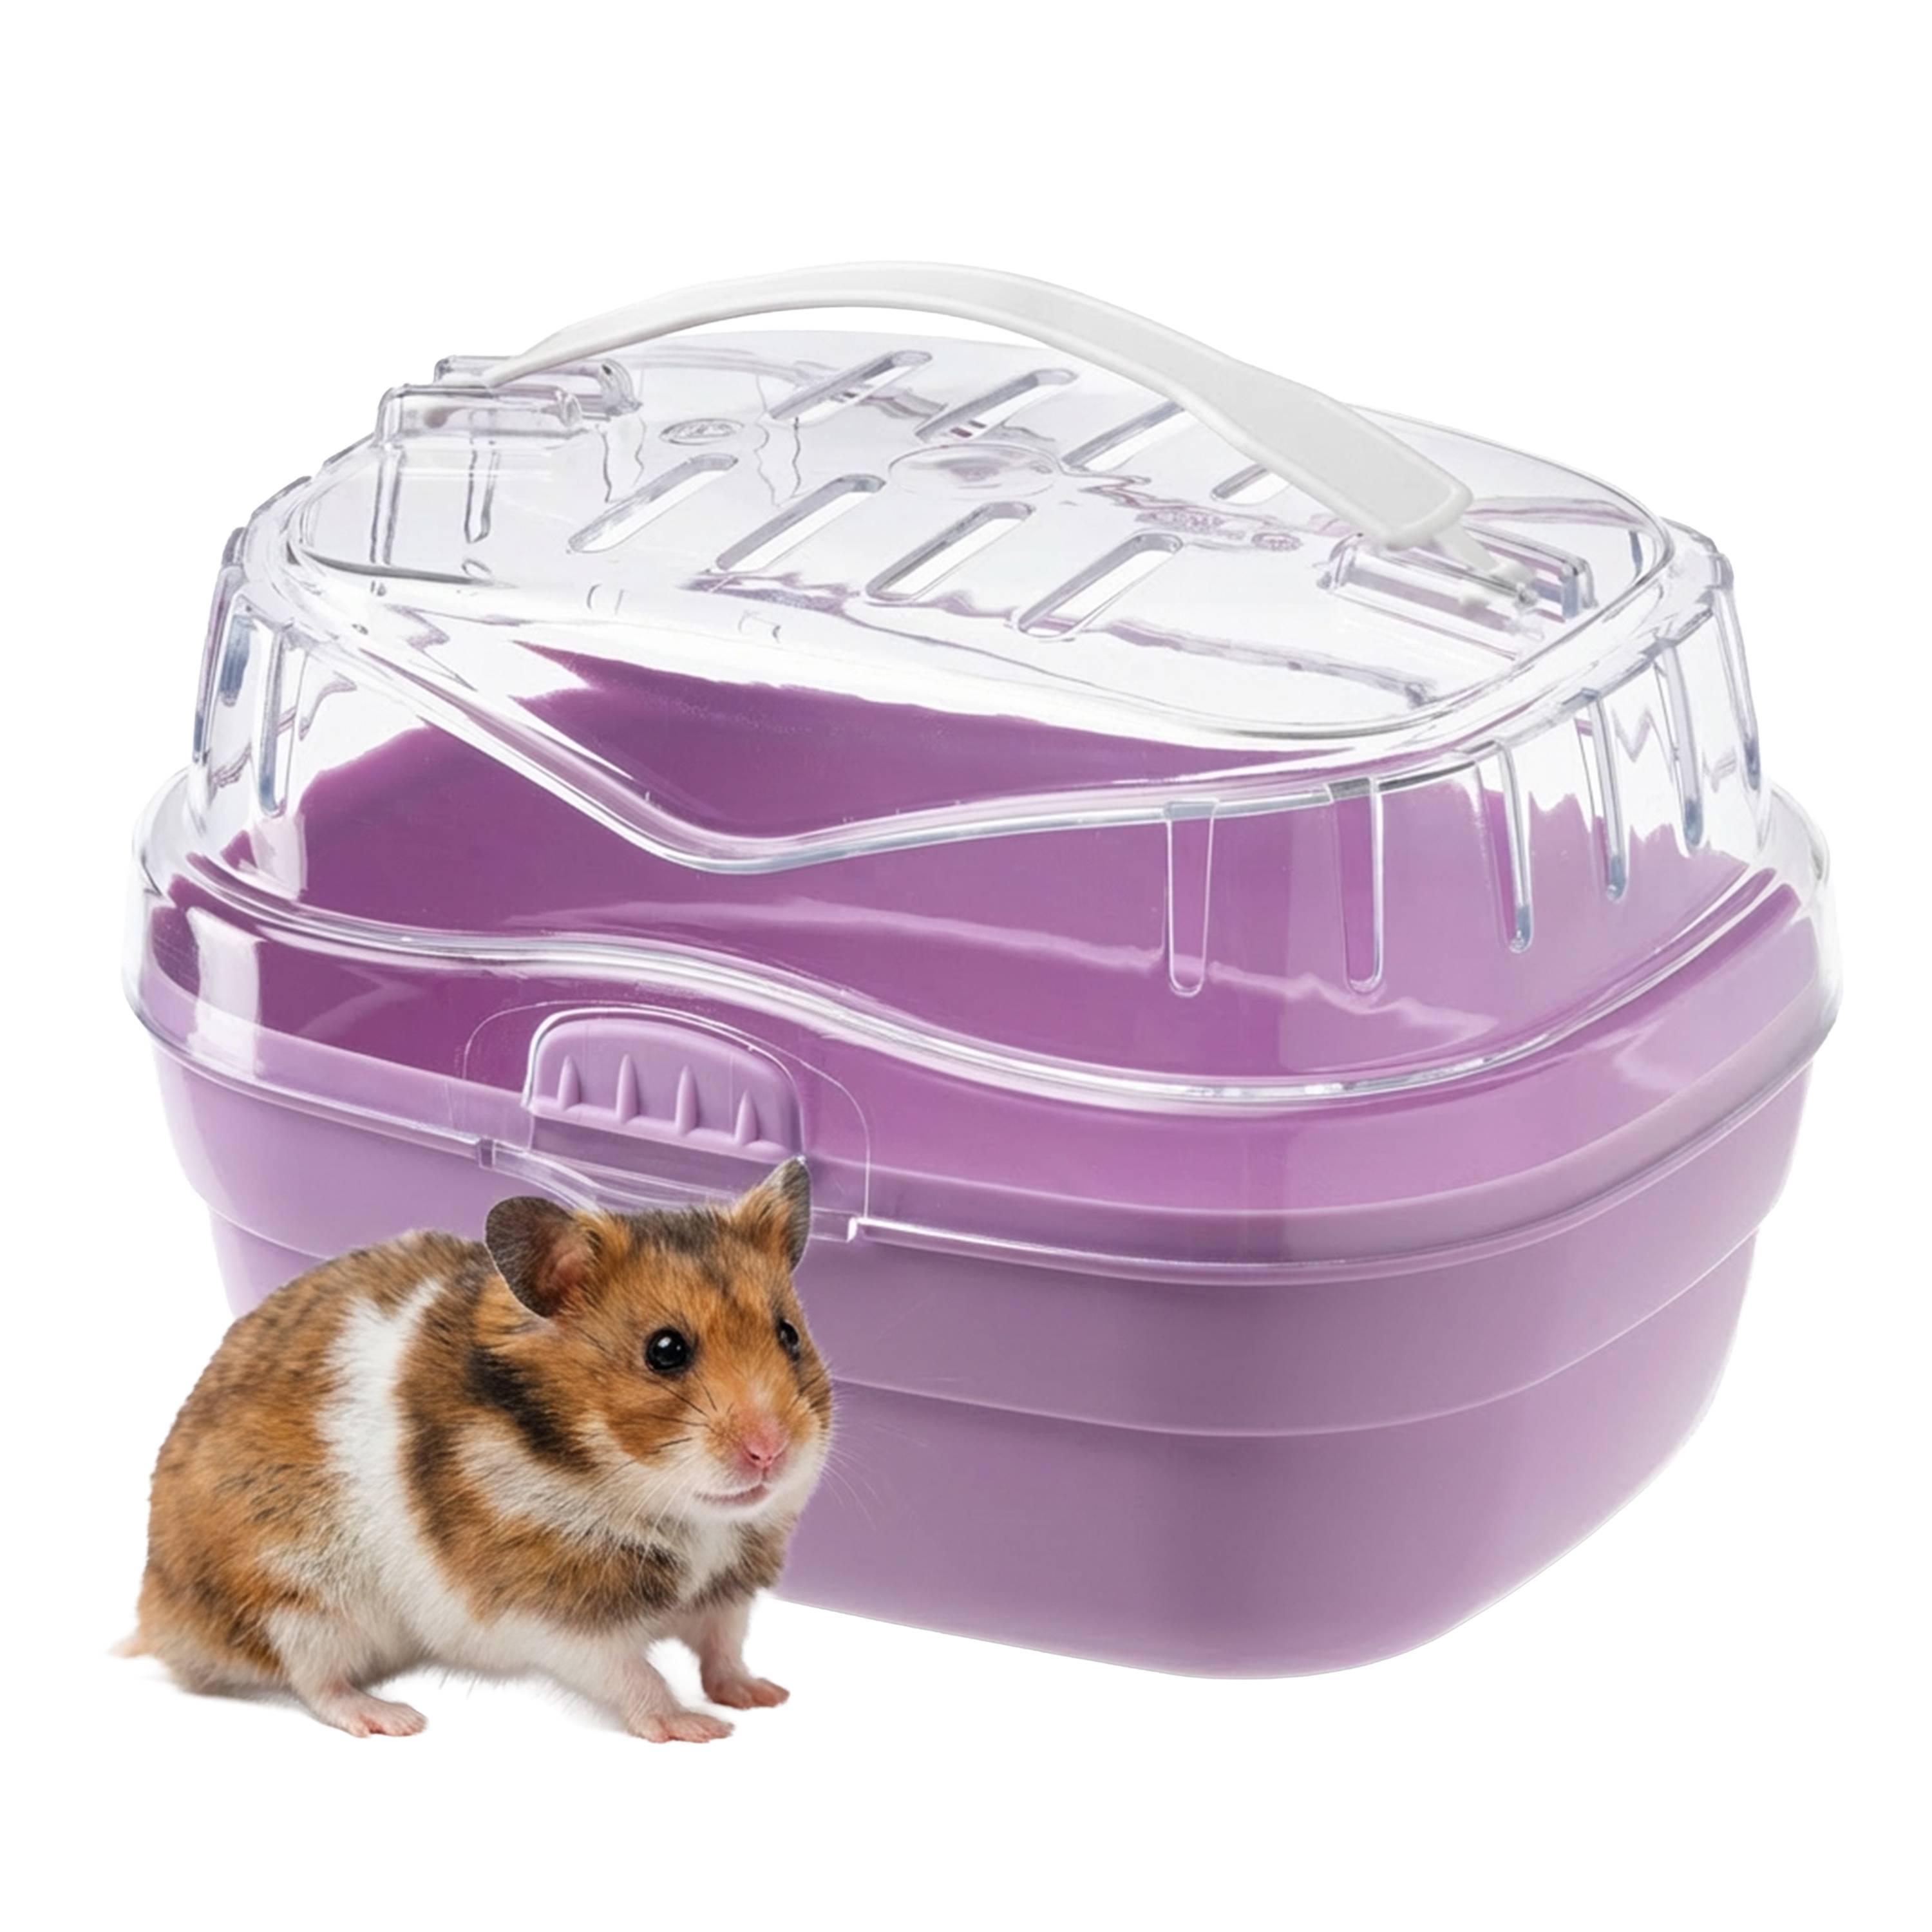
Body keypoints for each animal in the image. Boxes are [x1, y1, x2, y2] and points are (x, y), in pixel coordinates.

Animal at [126, 1158, 831, 1741]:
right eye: (665, 1350)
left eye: (790, 1334)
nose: (770, 1453)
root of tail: (157, 1615)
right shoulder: (551, 1611)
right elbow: (632, 1673)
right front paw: (699, 1729)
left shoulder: (725, 1592)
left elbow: (724, 1647)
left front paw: (764, 1697)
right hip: (295, 1594)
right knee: (313, 1680)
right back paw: (393, 1718)